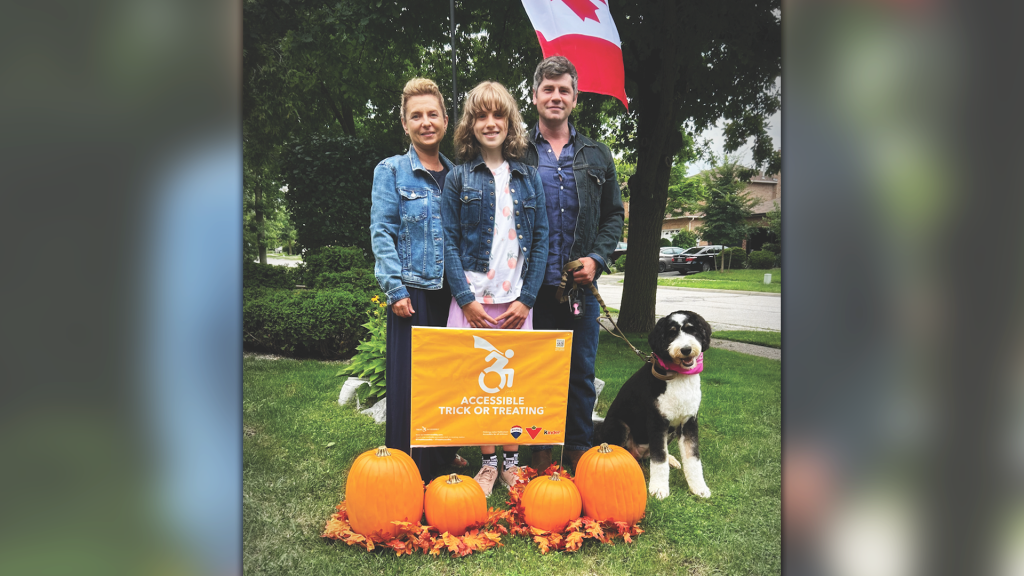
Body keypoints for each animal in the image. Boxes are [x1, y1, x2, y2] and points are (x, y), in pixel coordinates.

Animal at [593, 309, 712, 498]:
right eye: (671, 333)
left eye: (692, 330)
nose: (686, 349)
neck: (678, 377)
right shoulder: (657, 422)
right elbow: (659, 459)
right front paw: (659, 489)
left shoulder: (688, 421)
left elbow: (693, 457)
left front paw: (699, 488)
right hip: (619, 426)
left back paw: (672, 459)